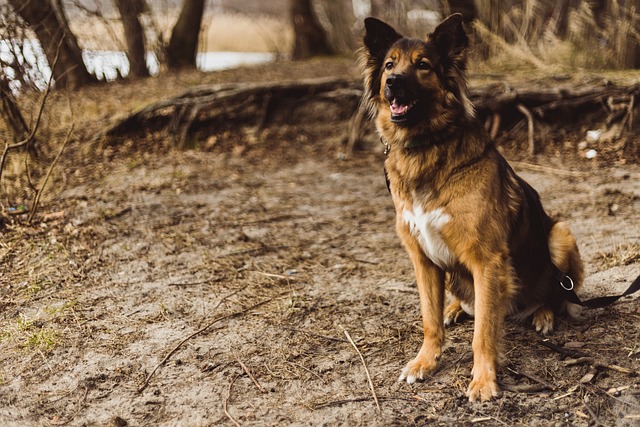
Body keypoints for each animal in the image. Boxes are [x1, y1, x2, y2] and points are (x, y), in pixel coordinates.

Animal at [360, 13, 584, 402]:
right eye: (389, 64)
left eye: (423, 65)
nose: (393, 82)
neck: (425, 146)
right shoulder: (422, 259)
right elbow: (429, 320)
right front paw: (425, 361)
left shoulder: (487, 261)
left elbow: (483, 333)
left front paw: (483, 381)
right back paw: (454, 308)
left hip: (559, 234)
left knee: (556, 292)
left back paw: (543, 314)